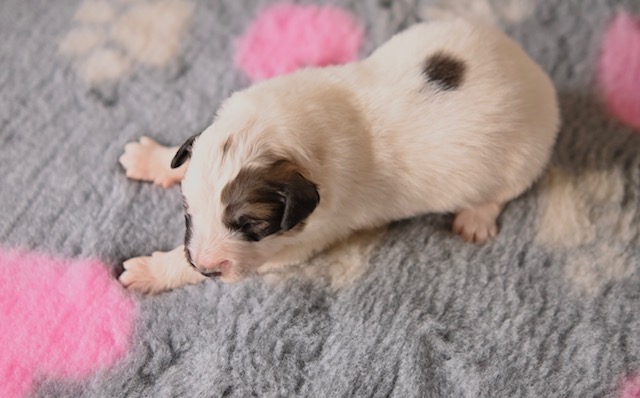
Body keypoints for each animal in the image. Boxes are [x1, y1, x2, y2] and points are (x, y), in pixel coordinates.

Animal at [117, 18, 556, 292]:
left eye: (251, 225)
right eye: (187, 213)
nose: (208, 267)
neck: (281, 135)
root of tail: (535, 74)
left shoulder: (290, 247)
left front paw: (150, 270)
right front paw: (151, 157)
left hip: (525, 156)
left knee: (502, 193)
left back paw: (475, 219)